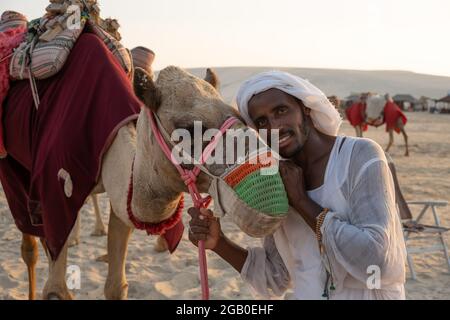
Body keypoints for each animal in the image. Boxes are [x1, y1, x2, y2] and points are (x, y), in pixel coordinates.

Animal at [18, 65, 243, 300]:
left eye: (238, 116)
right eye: (188, 128)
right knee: (30, 244)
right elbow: (55, 289)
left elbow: (115, 285)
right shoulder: (53, 190)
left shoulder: (122, 197)